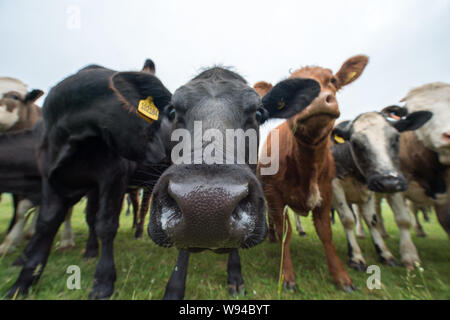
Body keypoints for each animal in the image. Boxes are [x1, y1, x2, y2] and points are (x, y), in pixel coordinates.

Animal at [256, 55, 370, 292]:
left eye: (333, 80)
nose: (316, 99)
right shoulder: (274, 195)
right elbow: (286, 232)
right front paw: (287, 275)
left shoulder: (326, 193)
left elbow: (326, 234)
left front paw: (341, 276)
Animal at [330, 110, 432, 270]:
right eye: (355, 143)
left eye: (396, 138)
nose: (388, 182)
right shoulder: (335, 187)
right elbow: (348, 219)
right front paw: (356, 257)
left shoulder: (368, 191)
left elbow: (372, 220)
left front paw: (385, 254)